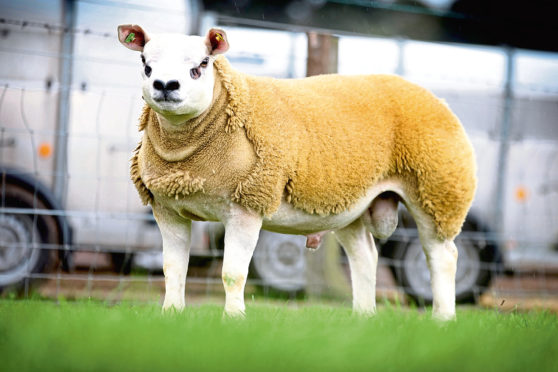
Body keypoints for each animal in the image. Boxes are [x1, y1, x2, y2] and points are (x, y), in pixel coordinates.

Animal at [118, 24, 476, 320]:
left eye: (202, 64)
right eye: (145, 63)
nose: (166, 85)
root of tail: (434, 97)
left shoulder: (247, 204)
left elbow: (233, 273)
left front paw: (233, 320)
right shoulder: (167, 208)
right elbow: (172, 270)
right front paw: (171, 317)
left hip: (438, 189)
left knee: (442, 256)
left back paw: (443, 319)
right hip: (351, 204)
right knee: (365, 256)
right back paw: (363, 318)